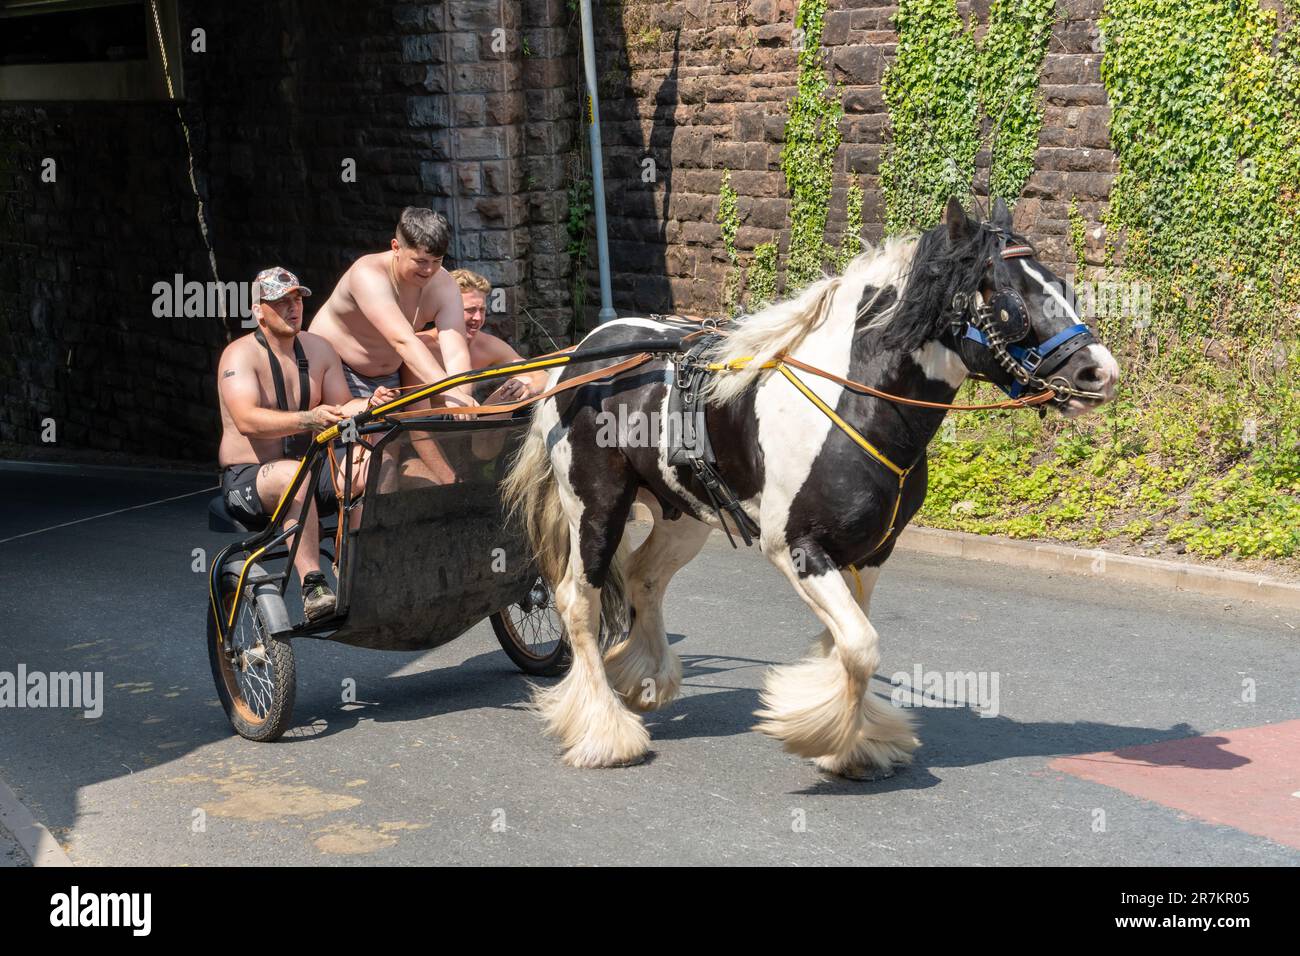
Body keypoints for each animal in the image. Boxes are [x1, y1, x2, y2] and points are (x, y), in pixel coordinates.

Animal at [501, 200, 1123, 780]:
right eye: (1008, 296)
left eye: (1061, 284)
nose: (1098, 373)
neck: (853, 403)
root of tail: (579, 356)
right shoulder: (796, 547)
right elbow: (859, 645)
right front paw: (821, 733)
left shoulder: (871, 553)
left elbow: (847, 644)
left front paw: (854, 742)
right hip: (596, 507)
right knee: (577, 601)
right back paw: (605, 731)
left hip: (684, 515)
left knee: (643, 579)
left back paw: (645, 681)